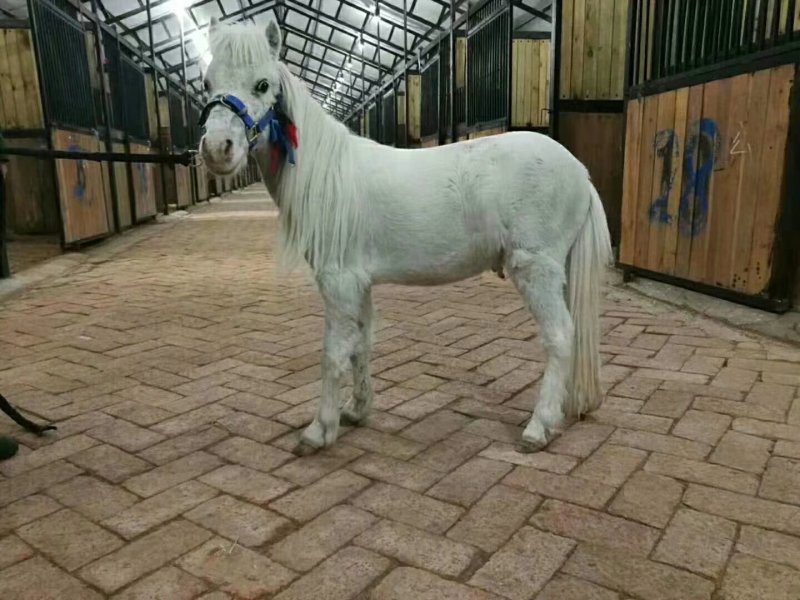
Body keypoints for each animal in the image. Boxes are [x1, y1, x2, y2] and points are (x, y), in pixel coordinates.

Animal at [198, 18, 613, 453]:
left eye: (262, 84)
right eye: (207, 83)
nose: (217, 149)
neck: (328, 172)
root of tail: (579, 172)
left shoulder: (338, 281)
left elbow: (333, 353)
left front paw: (319, 430)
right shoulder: (359, 283)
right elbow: (361, 344)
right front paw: (356, 410)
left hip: (536, 268)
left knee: (561, 336)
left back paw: (538, 427)